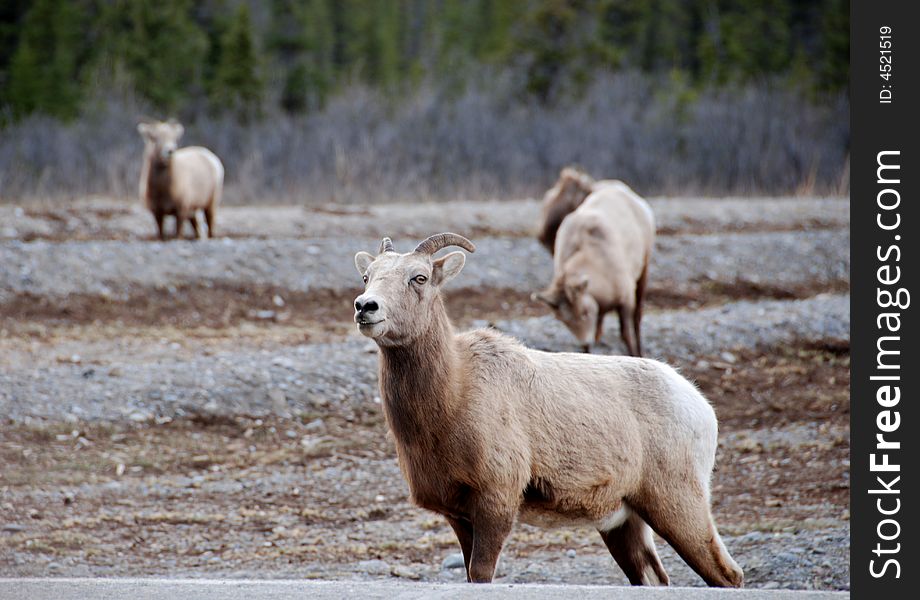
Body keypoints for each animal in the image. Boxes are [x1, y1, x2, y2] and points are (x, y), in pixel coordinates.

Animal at [350, 233, 740, 584]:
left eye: (419, 277)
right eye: (367, 276)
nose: (366, 307)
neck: (455, 395)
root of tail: (700, 405)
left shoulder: (496, 504)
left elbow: (481, 574)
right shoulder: (459, 517)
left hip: (678, 506)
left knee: (727, 574)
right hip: (624, 522)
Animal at [532, 180, 656, 354]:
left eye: (584, 312)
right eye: (564, 321)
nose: (587, 340)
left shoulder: (626, 299)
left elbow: (626, 335)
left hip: (644, 267)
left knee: (637, 317)